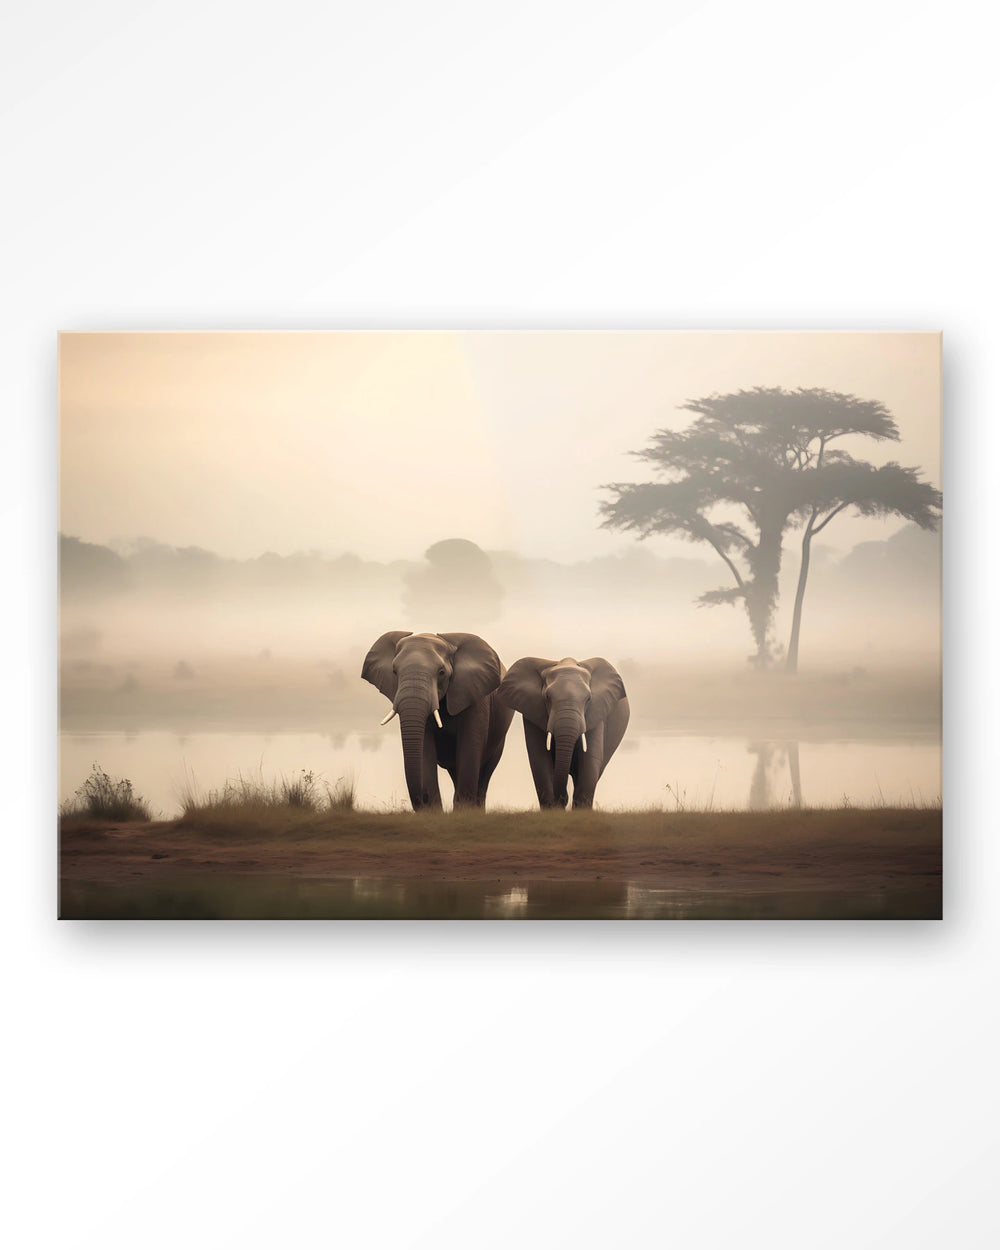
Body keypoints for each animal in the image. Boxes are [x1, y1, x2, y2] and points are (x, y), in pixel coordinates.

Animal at [361, 631, 514, 811]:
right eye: (394, 671)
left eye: (441, 672)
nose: (423, 798)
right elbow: (424, 750)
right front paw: (433, 810)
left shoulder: (476, 699)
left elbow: (469, 749)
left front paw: (463, 811)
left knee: (484, 775)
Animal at [498, 656, 630, 809]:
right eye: (547, 697)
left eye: (588, 699)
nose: (562, 798)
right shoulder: (531, 712)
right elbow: (539, 759)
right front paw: (553, 809)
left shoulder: (596, 711)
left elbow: (590, 759)